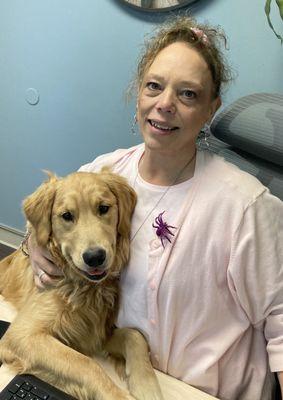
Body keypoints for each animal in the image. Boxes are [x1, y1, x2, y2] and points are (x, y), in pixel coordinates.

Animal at [0, 171, 163, 400]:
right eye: (67, 215)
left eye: (103, 208)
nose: (95, 257)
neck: (85, 287)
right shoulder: (22, 335)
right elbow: (86, 364)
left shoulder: (96, 333)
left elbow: (134, 335)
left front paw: (146, 386)